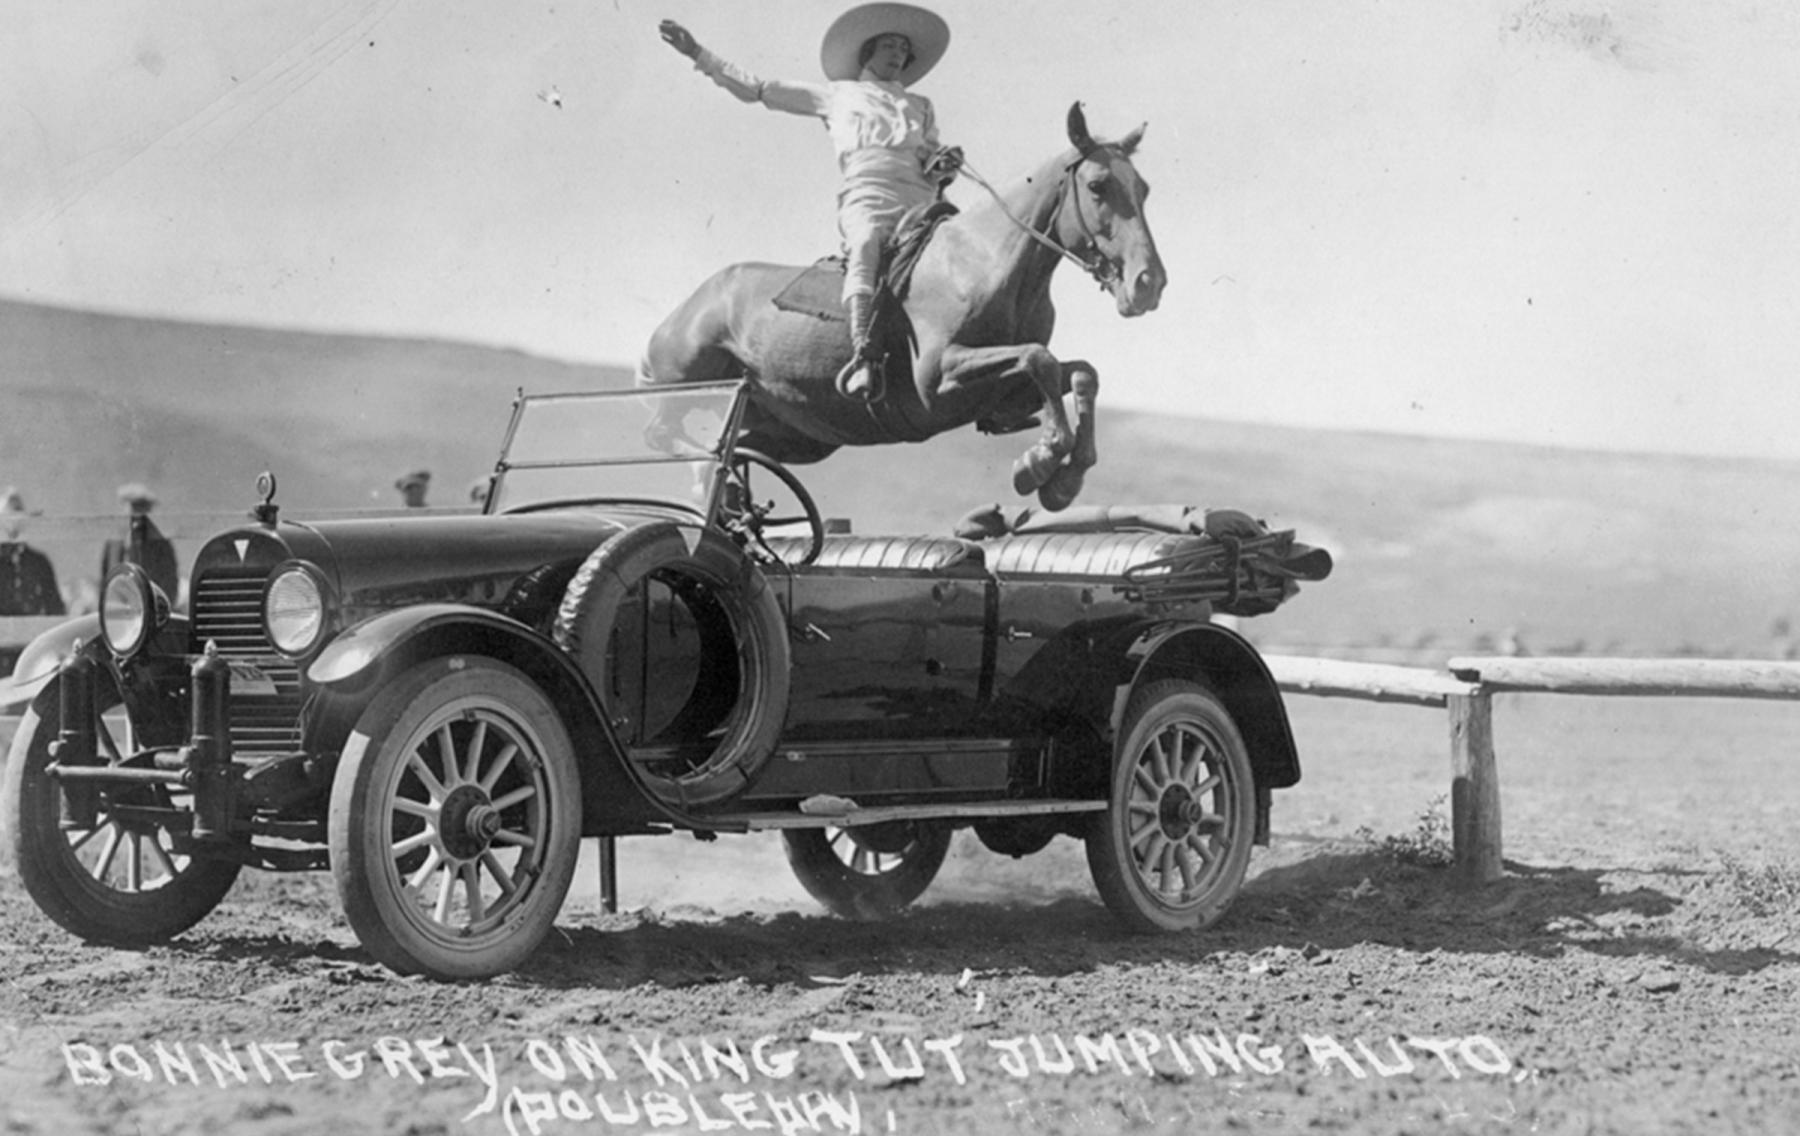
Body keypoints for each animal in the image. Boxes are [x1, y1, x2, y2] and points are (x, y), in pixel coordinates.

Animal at [640, 104, 1159, 514]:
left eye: (1144, 189)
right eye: (1098, 186)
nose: (1149, 282)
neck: (985, 264)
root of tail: (681, 313)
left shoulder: (1005, 397)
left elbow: (1079, 373)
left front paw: (1064, 477)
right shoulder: (939, 381)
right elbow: (1040, 359)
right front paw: (1043, 460)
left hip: (797, 435)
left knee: (743, 447)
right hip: (688, 389)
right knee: (662, 435)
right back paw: (709, 476)